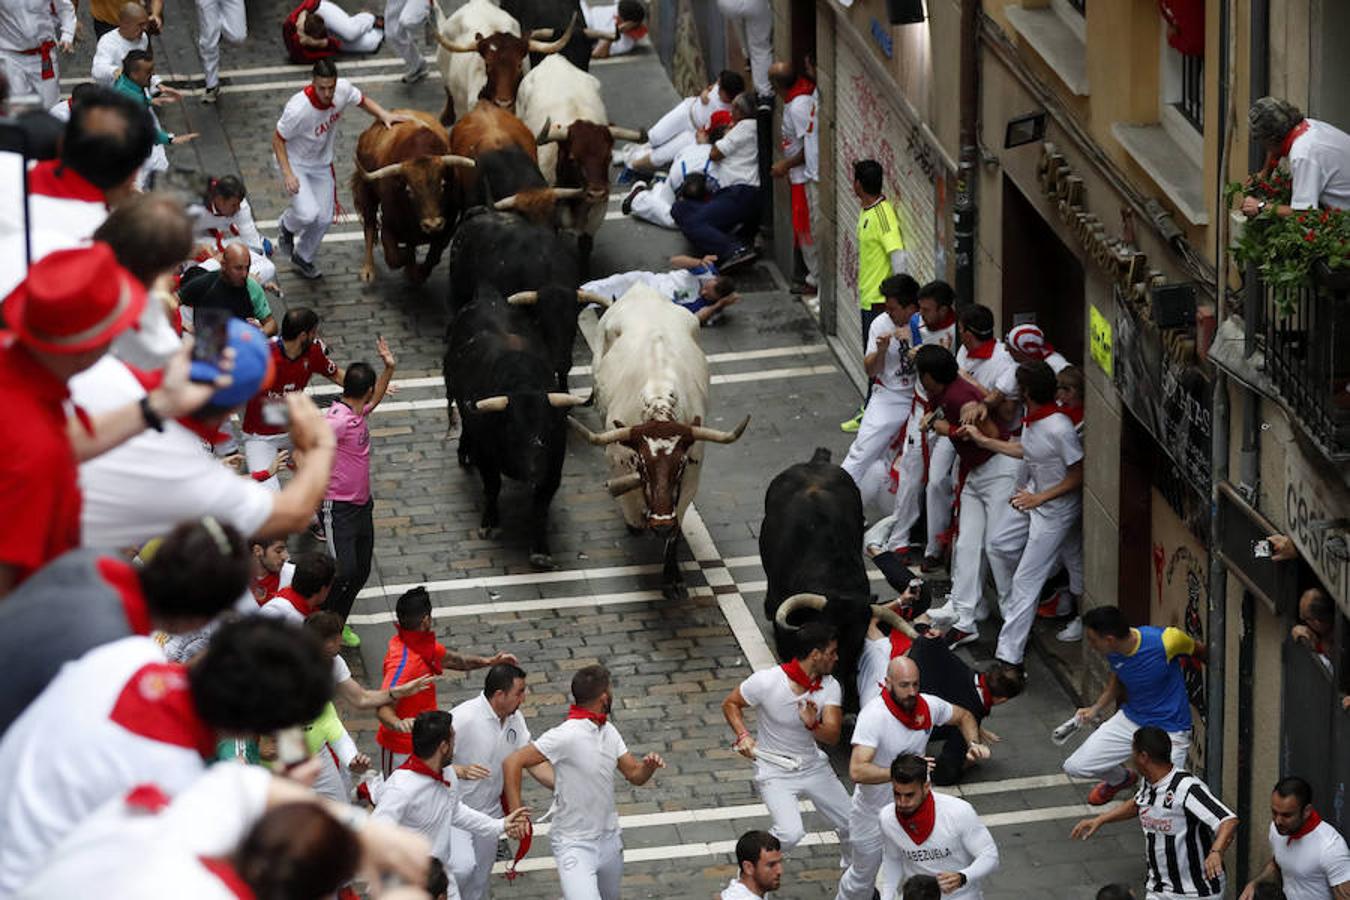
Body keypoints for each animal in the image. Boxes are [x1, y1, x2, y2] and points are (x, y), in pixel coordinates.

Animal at [353, 110, 475, 283]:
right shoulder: (388, 224)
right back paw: (368, 270)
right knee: (369, 226)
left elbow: (433, 257)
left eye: (443, 185)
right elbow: (394, 257)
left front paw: (416, 271)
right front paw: (408, 261)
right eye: (409, 190)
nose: (432, 225)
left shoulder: (447, 227)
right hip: (367, 193)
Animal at [564, 282, 745, 599]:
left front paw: (671, 576)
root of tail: (641, 288)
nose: (659, 522)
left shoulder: (690, 480)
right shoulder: (619, 465)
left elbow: (674, 531)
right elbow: (633, 509)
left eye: (681, 464)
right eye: (642, 463)